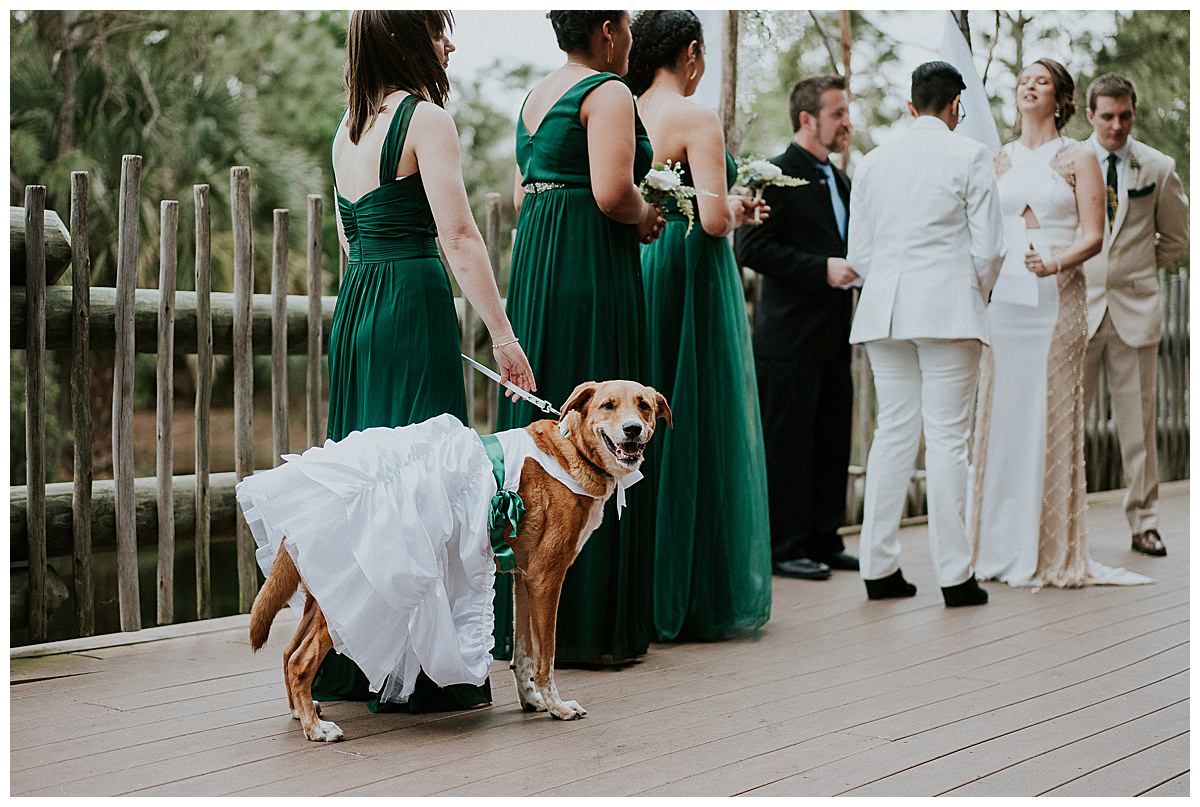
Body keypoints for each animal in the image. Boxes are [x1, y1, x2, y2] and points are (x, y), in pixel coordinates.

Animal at [248, 381, 672, 739]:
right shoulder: (546, 578)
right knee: (300, 660)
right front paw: (557, 707)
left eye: (644, 406)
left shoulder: (523, 579)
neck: (572, 452)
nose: (633, 430)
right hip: (345, 603)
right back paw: (316, 729)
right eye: (608, 405)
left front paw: (531, 701)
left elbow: (522, 654)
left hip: (321, 596)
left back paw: (302, 712)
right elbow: (546, 656)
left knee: (287, 652)